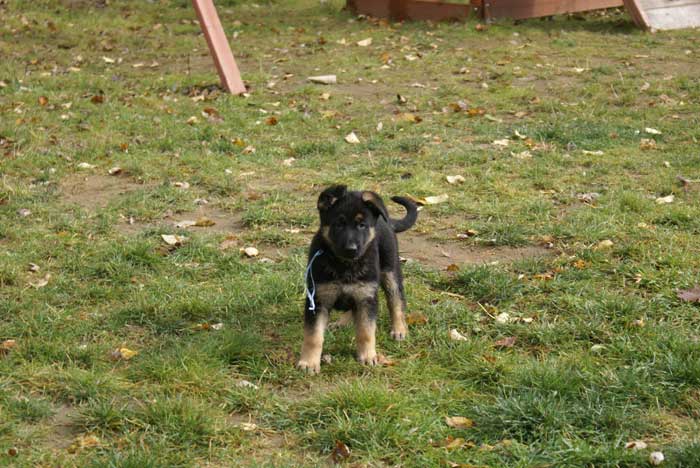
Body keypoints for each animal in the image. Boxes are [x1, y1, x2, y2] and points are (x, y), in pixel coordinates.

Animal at [296, 185, 416, 374]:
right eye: (339, 224)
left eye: (361, 225)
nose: (351, 249)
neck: (345, 265)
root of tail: (385, 220)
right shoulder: (318, 299)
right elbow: (313, 336)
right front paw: (309, 363)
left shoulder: (366, 297)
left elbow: (366, 331)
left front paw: (367, 356)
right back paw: (342, 322)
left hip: (390, 270)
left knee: (396, 300)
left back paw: (399, 329)